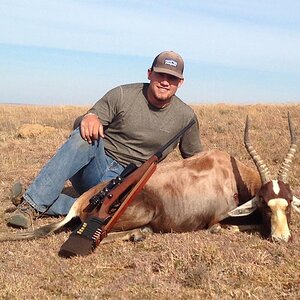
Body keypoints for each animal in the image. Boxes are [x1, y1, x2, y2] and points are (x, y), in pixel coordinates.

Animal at [0, 113, 300, 245]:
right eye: (265, 206)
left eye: (287, 204)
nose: (282, 238)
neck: (226, 172)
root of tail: (86, 198)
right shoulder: (217, 221)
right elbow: (230, 227)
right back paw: (139, 234)